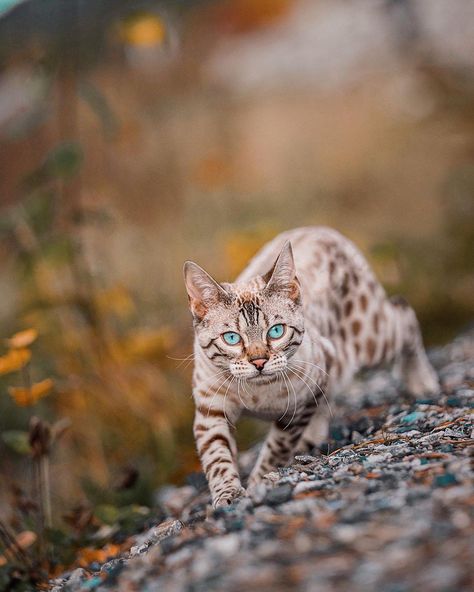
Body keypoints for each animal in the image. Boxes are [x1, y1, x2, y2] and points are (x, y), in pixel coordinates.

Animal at [183, 224, 438, 506]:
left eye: (276, 332)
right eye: (231, 338)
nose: (259, 361)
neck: (256, 394)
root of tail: (319, 229)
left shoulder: (298, 406)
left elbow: (277, 448)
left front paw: (261, 481)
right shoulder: (211, 411)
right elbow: (218, 458)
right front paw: (228, 495)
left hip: (371, 339)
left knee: (404, 313)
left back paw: (421, 381)